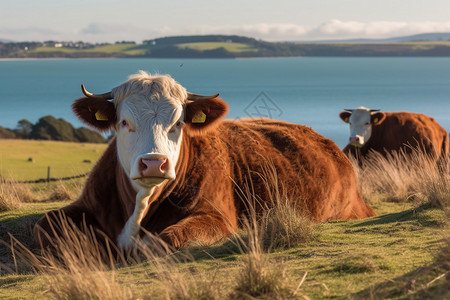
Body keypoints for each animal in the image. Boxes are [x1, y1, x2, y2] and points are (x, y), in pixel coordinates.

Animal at [33, 71, 376, 251]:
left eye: (177, 123)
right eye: (124, 122)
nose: (154, 163)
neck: (139, 207)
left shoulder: (217, 217)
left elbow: (165, 240)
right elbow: (44, 226)